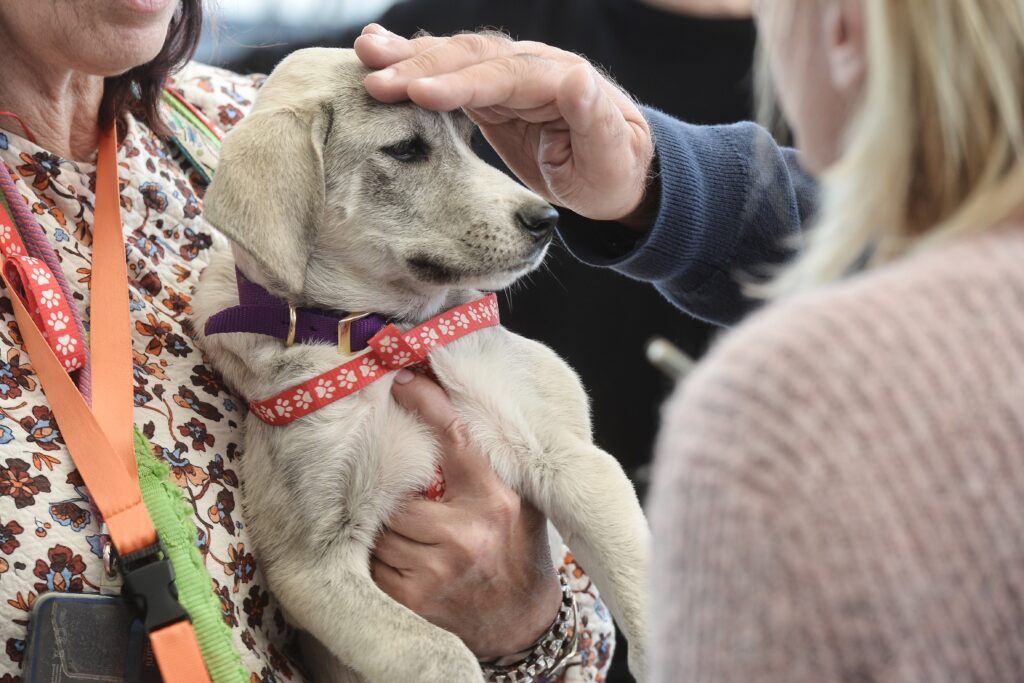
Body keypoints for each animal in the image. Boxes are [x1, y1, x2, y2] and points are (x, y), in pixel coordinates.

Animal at [193, 49, 647, 683]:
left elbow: (645, 599)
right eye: (406, 150)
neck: (388, 337)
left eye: (470, 140)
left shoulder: (576, 461)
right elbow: (444, 653)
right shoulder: (313, 562)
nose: (547, 219)